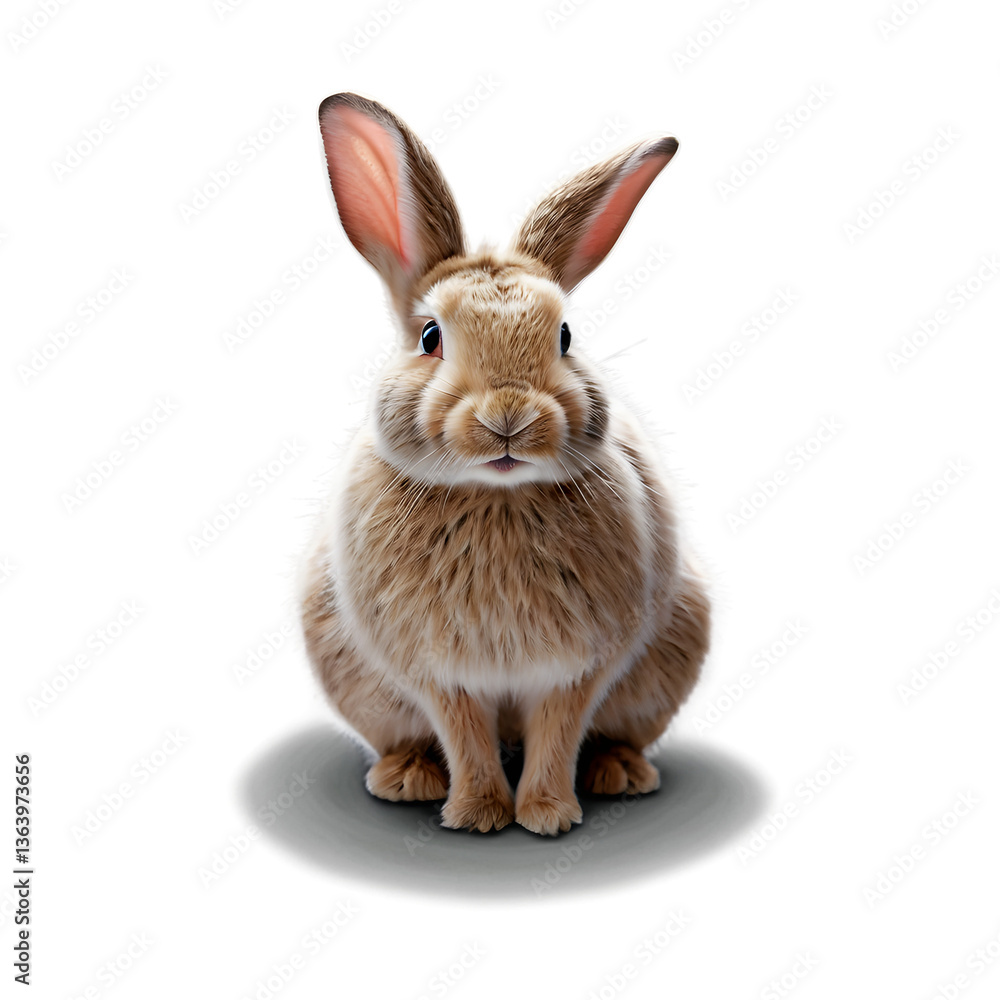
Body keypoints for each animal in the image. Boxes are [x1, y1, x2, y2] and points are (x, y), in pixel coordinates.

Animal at [300, 92, 710, 836]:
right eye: (430, 337)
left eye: (566, 336)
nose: (510, 416)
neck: (498, 494)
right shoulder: (439, 673)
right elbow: (463, 733)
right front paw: (478, 815)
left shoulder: (577, 667)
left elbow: (558, 732)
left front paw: (547, 816)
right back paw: (406, 778)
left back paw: (619, 772)